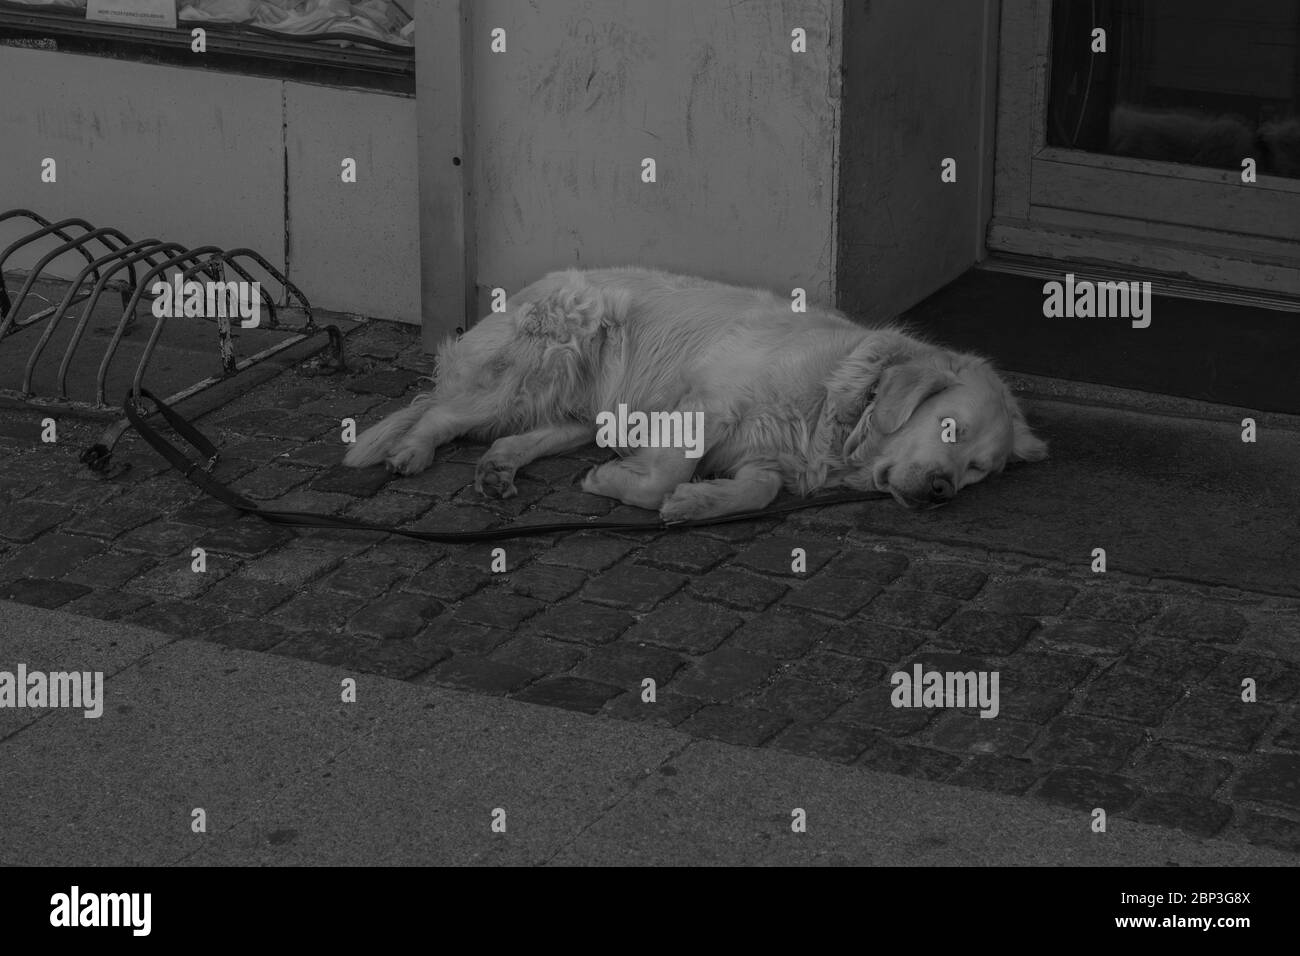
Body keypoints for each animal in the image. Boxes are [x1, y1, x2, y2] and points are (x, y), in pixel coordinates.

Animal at [343, 265, 1045, 520]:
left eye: (979, 470)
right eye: (949, 429)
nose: (943, 490)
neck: (839, 399)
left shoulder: (768, 456)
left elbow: (758, 491)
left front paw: (698, 501)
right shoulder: (708, 405)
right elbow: (663, 474)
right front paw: (625, 486)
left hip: (583, 409)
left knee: (521, 434)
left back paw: (499, 469)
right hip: (540, 363)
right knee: (438, 411)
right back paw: (409, 452)